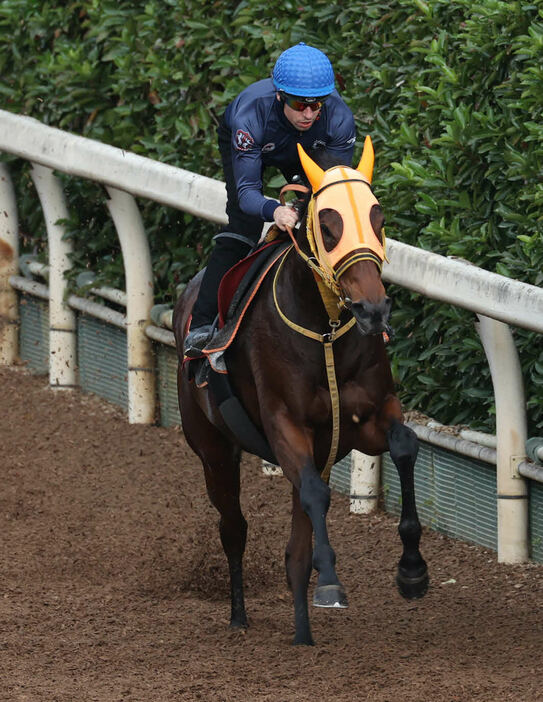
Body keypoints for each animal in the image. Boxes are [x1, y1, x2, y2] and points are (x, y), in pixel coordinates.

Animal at [174, 139, 430, 648]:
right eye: (328, 226)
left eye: (378, 217)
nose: (373, 309)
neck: (325, 330)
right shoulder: (284, 426)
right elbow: (314, 494)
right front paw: (330, 583)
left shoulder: (363, 421)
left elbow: (405, 446)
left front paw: (413, 570)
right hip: (213, 449)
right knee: (234, 528)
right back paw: (239, 615)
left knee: (295, 548)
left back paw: (302, 633)